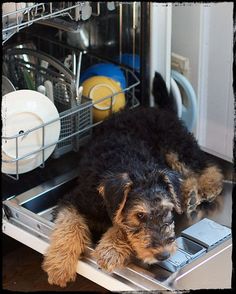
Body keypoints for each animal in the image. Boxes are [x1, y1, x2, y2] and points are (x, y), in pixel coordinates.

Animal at [42, 72, 223, 286]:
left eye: (167, 211)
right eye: (140, 215)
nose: (163, 255)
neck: (130, 165)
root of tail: (158, 109)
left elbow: (119, 225)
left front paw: (110, 250)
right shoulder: (72, 200)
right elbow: (69, 226)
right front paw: (60, 266)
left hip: (175, 146)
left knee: (205, 166)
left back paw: (206, 188)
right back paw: (189, 195)